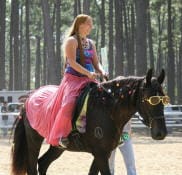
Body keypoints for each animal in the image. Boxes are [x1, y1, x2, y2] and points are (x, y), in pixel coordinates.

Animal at [11, 69, 168, 174]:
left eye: (164, 99)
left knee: (43, 163)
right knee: (33, 167)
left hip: (57, 146)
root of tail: (30, 97)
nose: (161, 133)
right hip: (34, 142)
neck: (107, 107)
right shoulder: (101, 154)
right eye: (150, 99)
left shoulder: (103, 153)